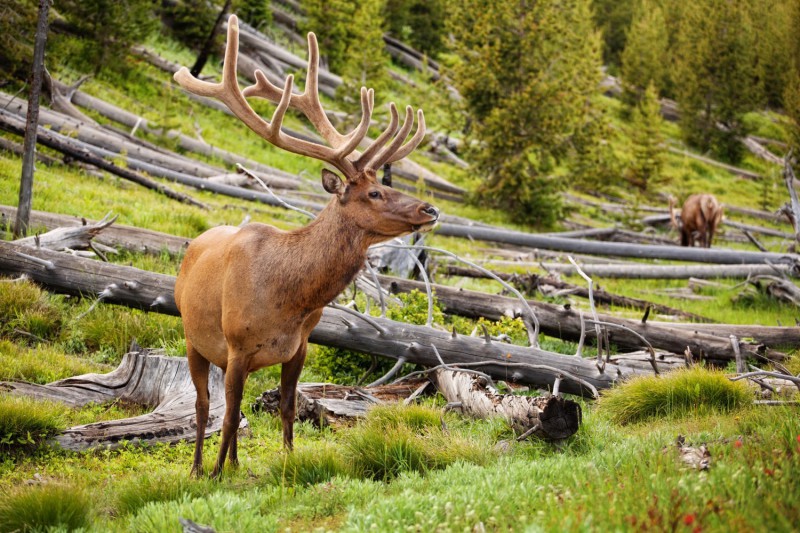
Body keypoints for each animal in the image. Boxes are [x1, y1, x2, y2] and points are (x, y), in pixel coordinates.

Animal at [172, 15, 440, 478]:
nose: (429, 208)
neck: (291, 298)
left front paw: (288, 463)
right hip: (194, 339)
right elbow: (228, 416)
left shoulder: (300, 347)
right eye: (373, 193)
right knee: (205, 407)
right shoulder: (238, 346)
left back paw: (236, 463)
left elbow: (286, 409)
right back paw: (199, 469)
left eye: (385, 185)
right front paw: (216, 474)